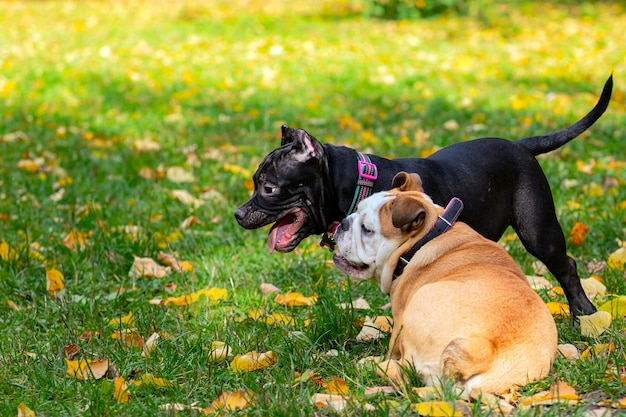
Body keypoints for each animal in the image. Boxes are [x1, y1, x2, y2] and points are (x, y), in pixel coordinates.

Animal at [234, 76, 608, 316]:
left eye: (268, 187)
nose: (238, 214)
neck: (358, 182)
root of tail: (521, 145)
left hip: (538, 230)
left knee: (566, 265)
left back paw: (584, 314)